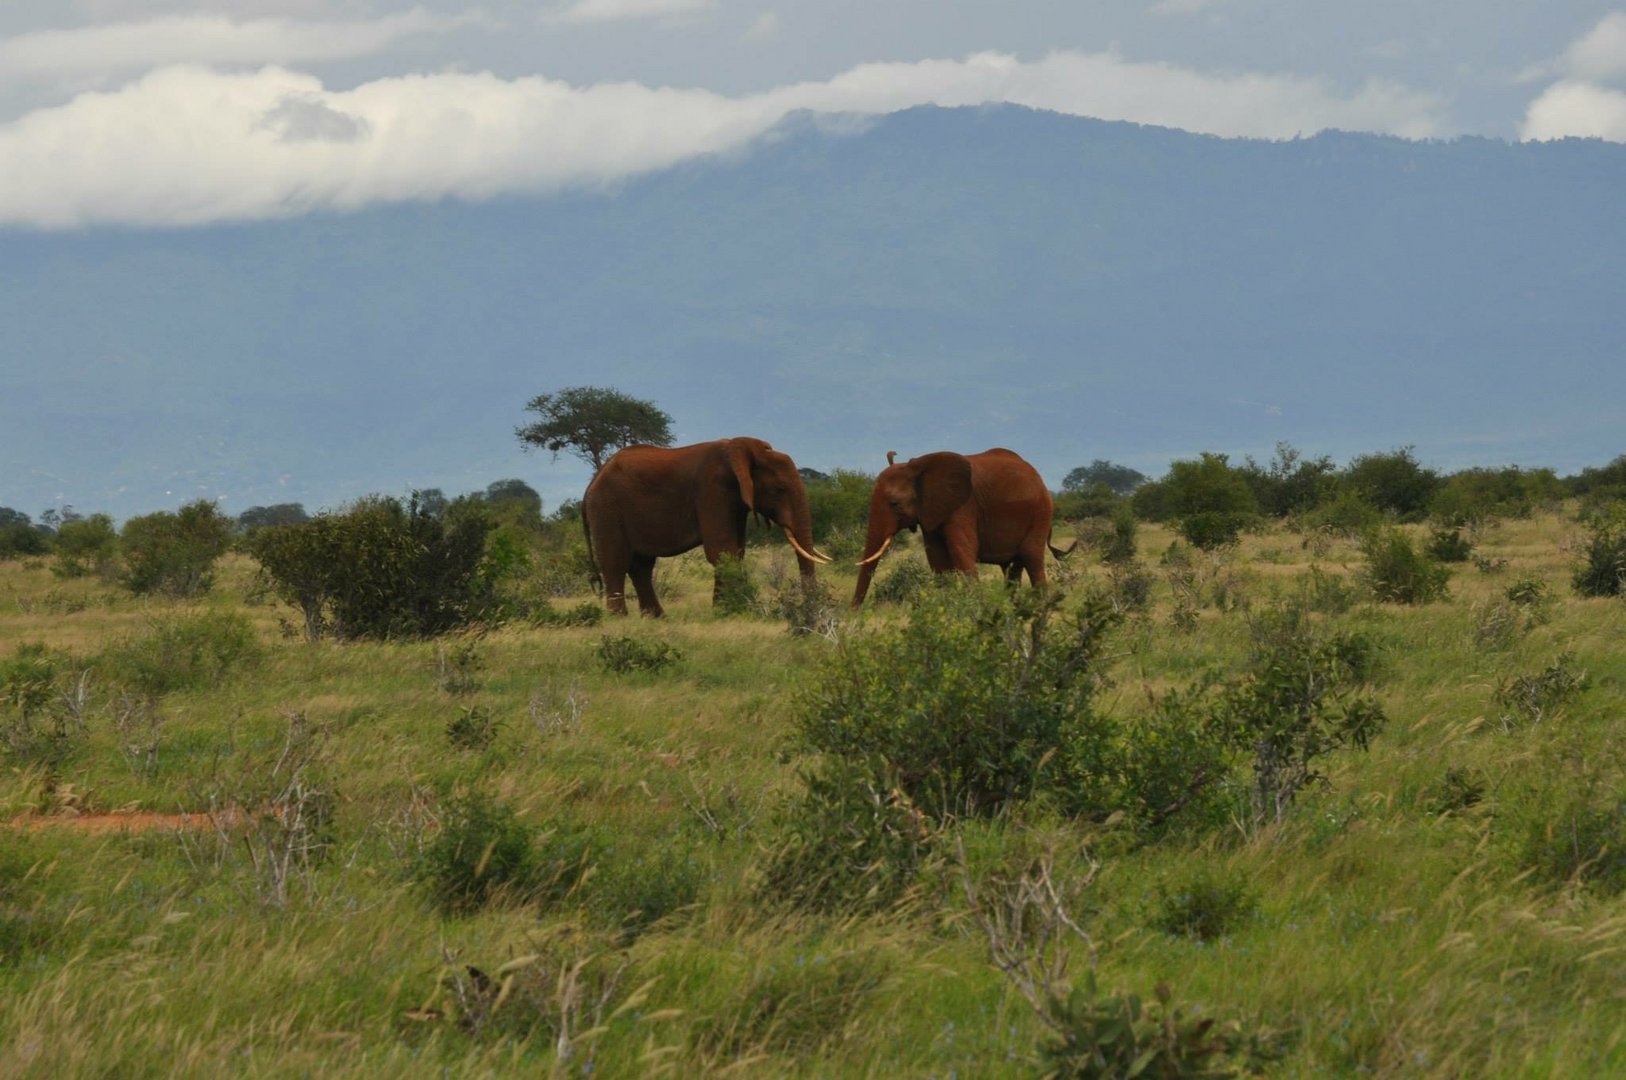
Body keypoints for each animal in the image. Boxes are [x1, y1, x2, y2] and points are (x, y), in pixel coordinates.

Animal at [582, 432, 826, 614]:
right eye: (780, 489)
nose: (809, 607)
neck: (742, 451)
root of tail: (592, 481)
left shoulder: (734, 500)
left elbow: (735, 551)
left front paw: (724, 610)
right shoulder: (712, 490)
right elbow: (722, 550)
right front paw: (730, 610)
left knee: (641, 567)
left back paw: (656, 618)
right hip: (606, 510)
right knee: (616, 564)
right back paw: (620, 619)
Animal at [845, 445, 1073, 608]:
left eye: (894, 503)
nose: (854, 612)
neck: (919, 467)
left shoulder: (963, 508)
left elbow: (963, 552)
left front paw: (976, 607)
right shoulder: (931, 512)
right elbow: (938, 561)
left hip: (1041, 513)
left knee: (1032, 559)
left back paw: (1040, 608)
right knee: (1013, 568)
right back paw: (1015, 607)